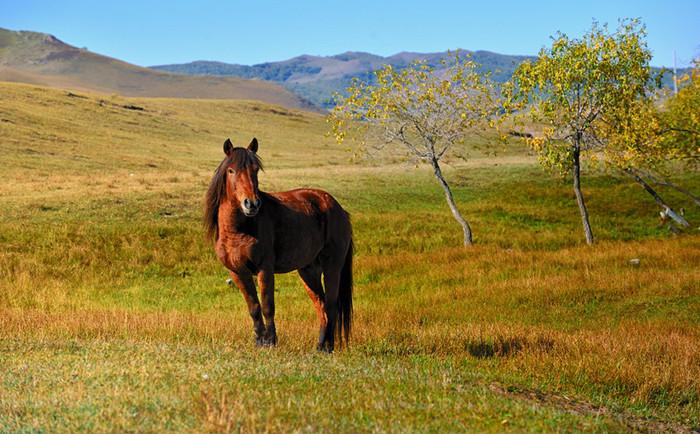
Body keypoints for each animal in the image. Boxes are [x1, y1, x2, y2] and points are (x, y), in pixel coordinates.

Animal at [205, 139, 352, 352]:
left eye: (255, 169)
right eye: (231, 170)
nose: (252, 204)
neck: (238, 230)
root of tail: (338, 208)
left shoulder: (264, 269)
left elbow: (267, 305)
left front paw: (271, 341)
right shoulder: (237, 271)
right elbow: (254, 307)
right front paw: (259, 342)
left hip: (332, 266)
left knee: (331, 304)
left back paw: (327, 348)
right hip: (309, 271)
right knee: (321, 305)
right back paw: (319, 345)